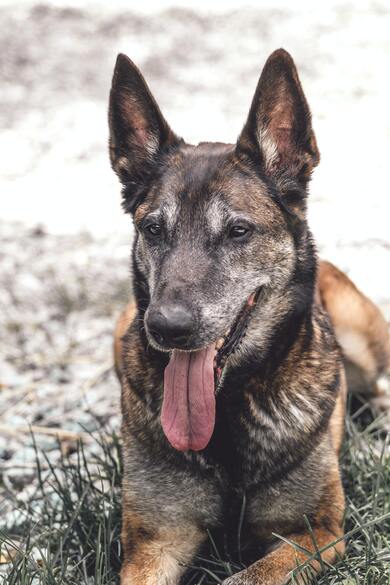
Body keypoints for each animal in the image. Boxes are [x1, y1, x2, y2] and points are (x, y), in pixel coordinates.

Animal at [107, 50, 390, 584]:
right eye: (153, 229)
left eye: (238, 231)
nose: (166, 328)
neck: (232, 402)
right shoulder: (154, 542)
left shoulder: (314, 534)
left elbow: (246, 575)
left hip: (360, 337)